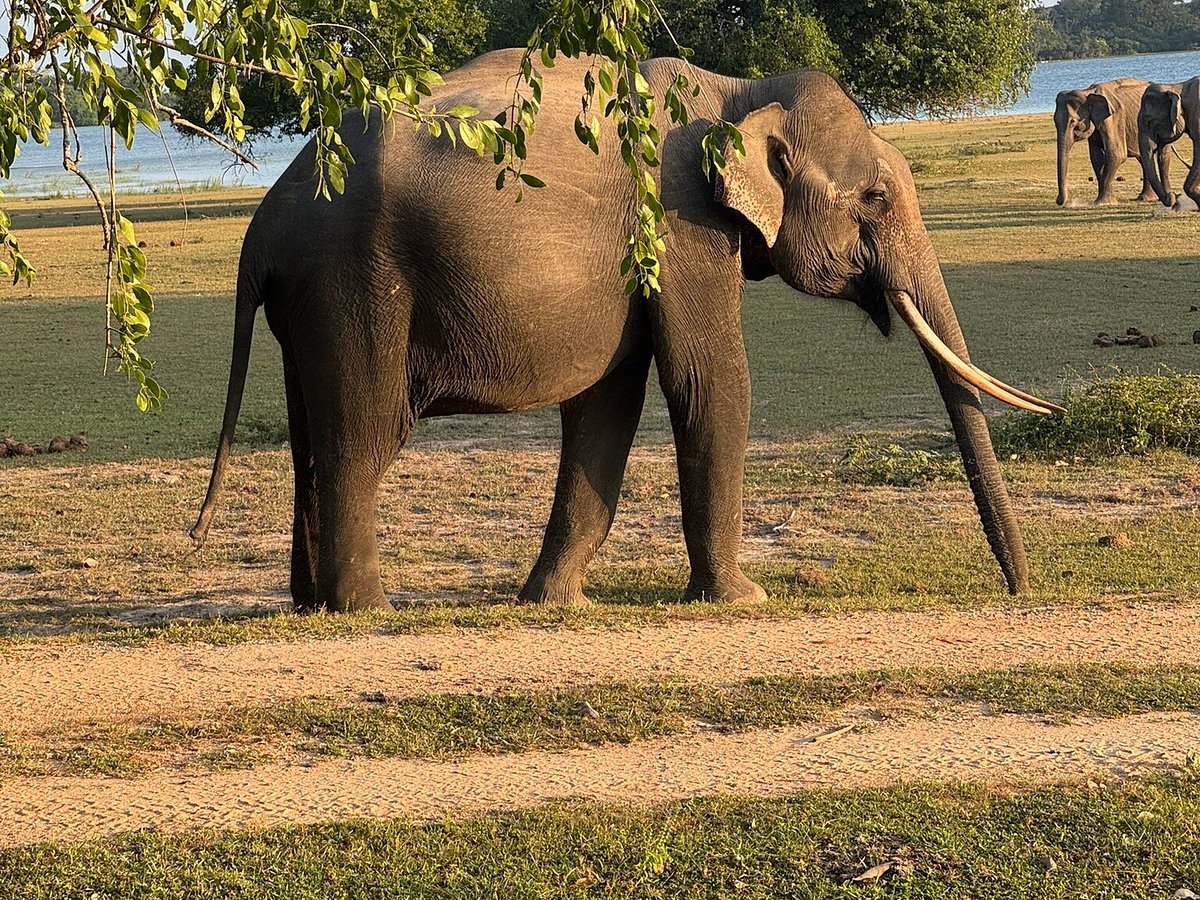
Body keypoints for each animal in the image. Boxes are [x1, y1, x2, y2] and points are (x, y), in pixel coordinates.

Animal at [191, 51, 1061, 613]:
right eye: (876, 198)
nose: (1018, 592)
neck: (738, 91)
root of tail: (263, 226)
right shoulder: (679, 225)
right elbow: (709, 380)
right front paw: (742, 600)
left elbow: (608, 401)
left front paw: (552, 603)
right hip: (355, 285)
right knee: (360, 436)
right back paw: (368, 609)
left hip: (310, 307)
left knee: (312, 439)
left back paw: (311, 605)